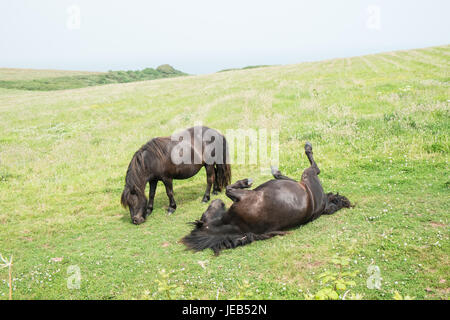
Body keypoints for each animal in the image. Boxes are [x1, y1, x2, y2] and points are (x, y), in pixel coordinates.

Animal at [181, 142, 350, 255]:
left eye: (205, 213)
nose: (216, 201)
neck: (235, 225)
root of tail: (323, 202)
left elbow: (229, 189)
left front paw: (245, 182)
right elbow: (230, 189)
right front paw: (248, 181)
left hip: (306, 176)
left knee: (309, 170)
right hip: (307, 176)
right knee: (312, 169)